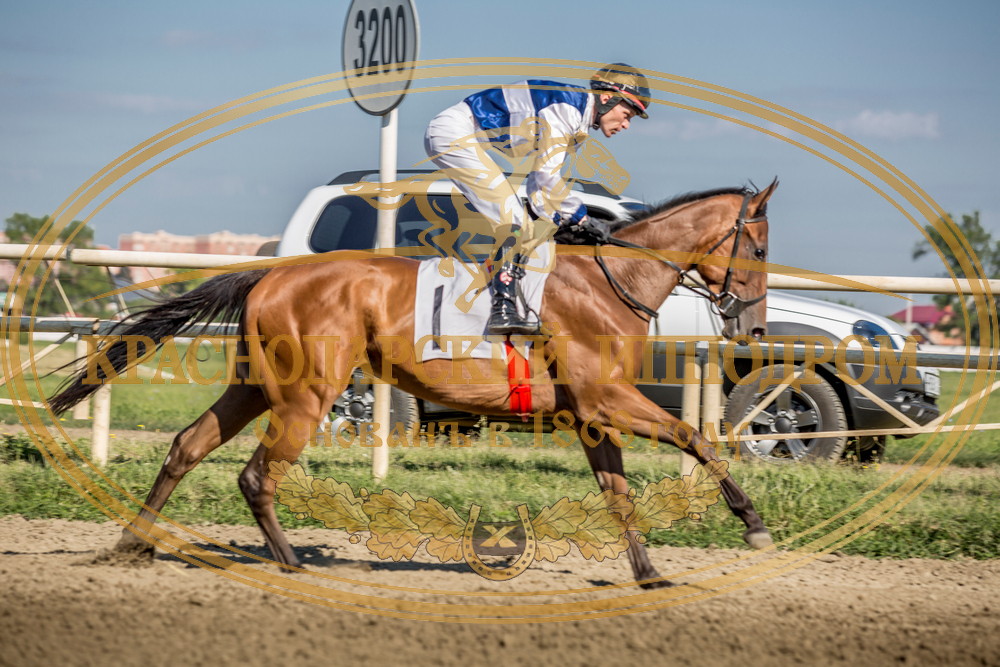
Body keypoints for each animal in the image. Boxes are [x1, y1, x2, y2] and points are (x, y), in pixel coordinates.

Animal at [50, 180, 776, 588]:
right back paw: (292, 565)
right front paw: (753, 524)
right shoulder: (608, 400)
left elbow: (620, 494)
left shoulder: (591, 414)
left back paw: (133, 541)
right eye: (760, 247)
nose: (754, 323)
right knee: (256, 475)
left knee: (188, 444)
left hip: (256, 385)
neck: (610, 281)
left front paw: (650, 575)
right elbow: (697, 439)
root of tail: (269, 273)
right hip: (307, 394)